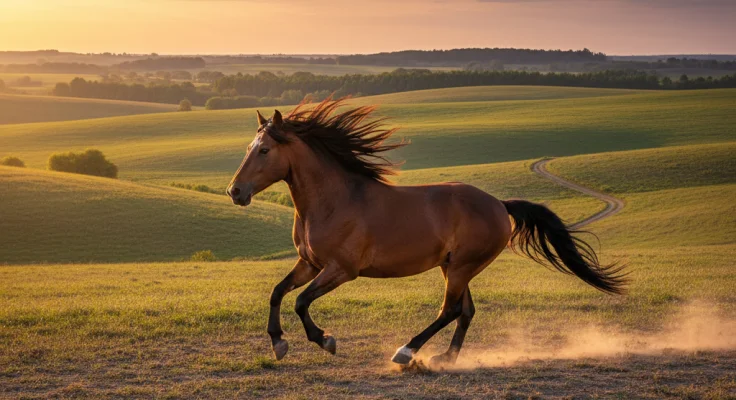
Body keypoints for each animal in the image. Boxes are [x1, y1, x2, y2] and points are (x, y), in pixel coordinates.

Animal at [226, 98, 627, 367]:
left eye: (264, 150)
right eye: (249, 148)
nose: (235, 192)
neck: (334, 201)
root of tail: (499, 204)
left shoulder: (342, 270)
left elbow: (300, 301)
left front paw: (325, 340)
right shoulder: (309, 263)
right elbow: (278, 292)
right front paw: (278, 343)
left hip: (462, 267)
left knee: (450, 310)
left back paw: (406, 352)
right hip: (454, 267)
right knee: (466, 312)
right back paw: (445, 358)